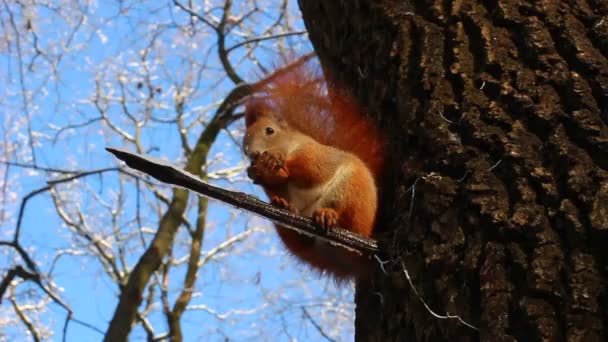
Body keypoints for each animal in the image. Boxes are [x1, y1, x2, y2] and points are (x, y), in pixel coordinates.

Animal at [243, 62, 382, 280]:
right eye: (244, 148)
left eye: (269, 130)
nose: (254, 155)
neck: (290, 146)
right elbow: (274, 186)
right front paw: (260, 174)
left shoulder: (316, 153)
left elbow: (312, 170)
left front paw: (277, 162)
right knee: (297, 239)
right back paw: (283, 206)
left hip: (352, 189)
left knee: (346, 216)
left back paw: (328, 214)